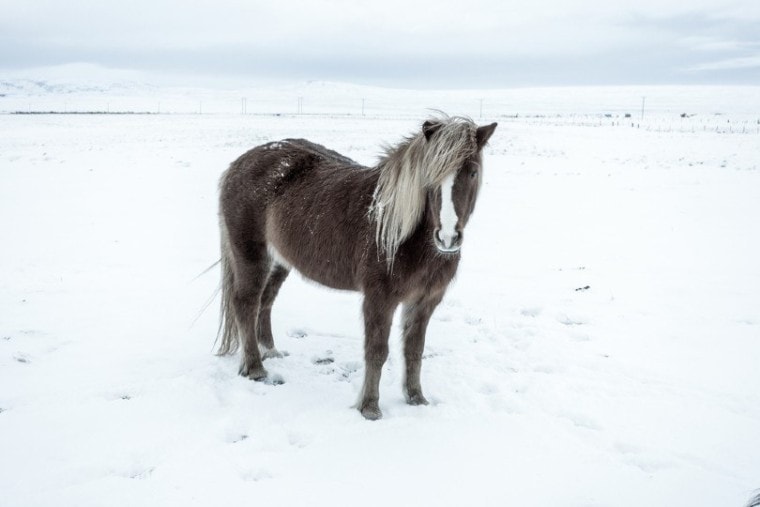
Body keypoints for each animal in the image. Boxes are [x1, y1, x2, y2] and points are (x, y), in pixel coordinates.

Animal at [217, 115, 496, 420]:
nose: (447, 237)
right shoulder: (379, 299)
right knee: (246, 303)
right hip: (251, 255)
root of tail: (239, 163)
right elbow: (377, 351)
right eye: (429, 175)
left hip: (280, 260)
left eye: (472, 172)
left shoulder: (426, 301)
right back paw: (256, 368)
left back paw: (270, 351)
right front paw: (370, 408)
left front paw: (416, 398)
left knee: (265, 301)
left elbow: (414, 350)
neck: (404, 234)